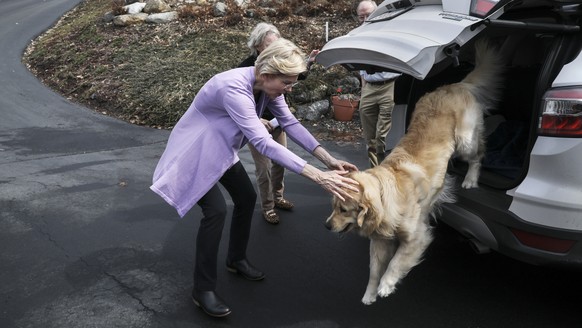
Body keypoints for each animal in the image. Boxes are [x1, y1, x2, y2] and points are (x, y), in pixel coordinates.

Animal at [326, 41, 504, 304]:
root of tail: (455, 85)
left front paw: (386, 285)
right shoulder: (381, 240)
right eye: (333, 206)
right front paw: (370, 293)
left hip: (465, 139)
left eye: (344, 210)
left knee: (478, 155)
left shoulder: (416, 236)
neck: (386, 196)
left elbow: (396, 262)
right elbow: (374, 269)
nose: (327, 226)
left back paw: (471, 179)